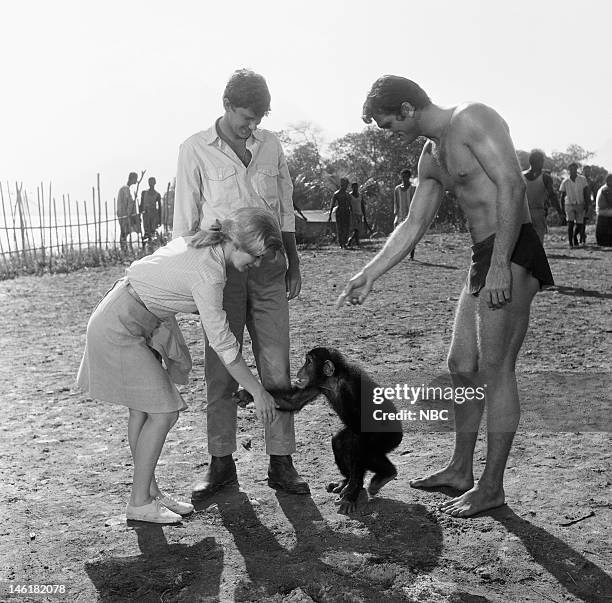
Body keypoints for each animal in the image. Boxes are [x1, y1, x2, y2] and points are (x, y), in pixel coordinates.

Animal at [238, 346, 402, 512]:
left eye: (309, 362)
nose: (300, 370)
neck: (334, 379)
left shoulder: (350, 389)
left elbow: (360, 432)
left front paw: (351, 493)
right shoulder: (314, 385)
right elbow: (292, 400)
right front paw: (247, 394)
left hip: (388, 438)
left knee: (364, 450)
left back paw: (383, 475)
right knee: (340, 443)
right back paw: (349, 480)